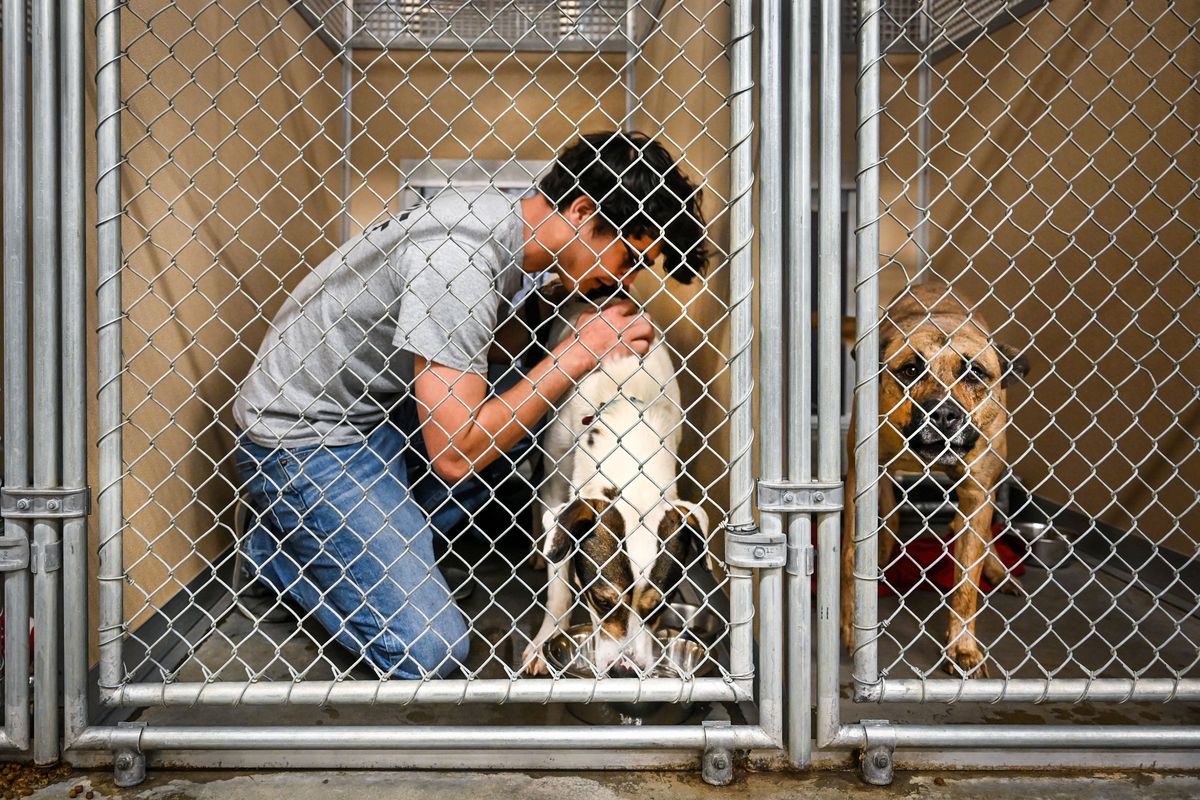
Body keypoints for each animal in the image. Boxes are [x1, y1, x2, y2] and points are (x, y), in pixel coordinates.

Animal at [520, 297, 705, 681]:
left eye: (659, 607)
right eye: (602, 601)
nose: (625, 671)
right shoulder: (558, 487)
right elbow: (559, 585)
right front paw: (546, 639)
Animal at [844, 281, 1032, 676]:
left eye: (975, 374)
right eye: (911, 370)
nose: (944, 415)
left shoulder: (979, 491)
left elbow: (966, 587)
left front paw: (962, 648)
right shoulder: (861, 477)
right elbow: (850, 562)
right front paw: (852, 623)